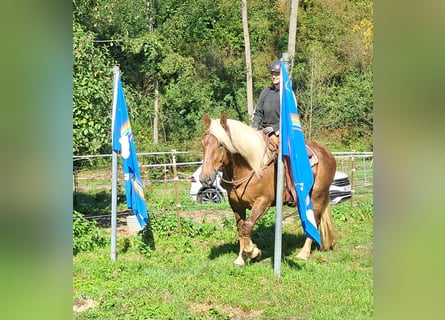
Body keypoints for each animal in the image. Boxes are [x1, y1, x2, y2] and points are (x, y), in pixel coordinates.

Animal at [201, 111, 336, 266]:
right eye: (203, 143)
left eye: (221, 145)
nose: (205, 178)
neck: (251, 167)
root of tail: (328, 154)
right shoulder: (236, 204)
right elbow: (241, 229)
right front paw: (241, 257)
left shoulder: (262, 202)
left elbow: (247, 226)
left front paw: (254, 252)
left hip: (317, 196)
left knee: (315, 220)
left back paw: (303, 253)